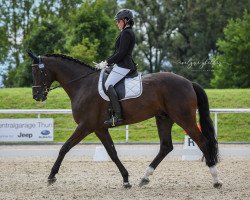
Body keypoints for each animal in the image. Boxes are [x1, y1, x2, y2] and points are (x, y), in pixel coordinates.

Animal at [27, 51, 223, 188]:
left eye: (37, 72)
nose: (37, 96)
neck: (82, 84)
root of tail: (189, 82)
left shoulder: (85, 126)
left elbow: (64, 148)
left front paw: (51, 176)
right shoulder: (100, 128)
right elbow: (112, 152)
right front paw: (126, 179)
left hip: (184, 118)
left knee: (203, 142)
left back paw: (216, 179)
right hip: (164, 118)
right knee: (166, 146)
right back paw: (144, 178)